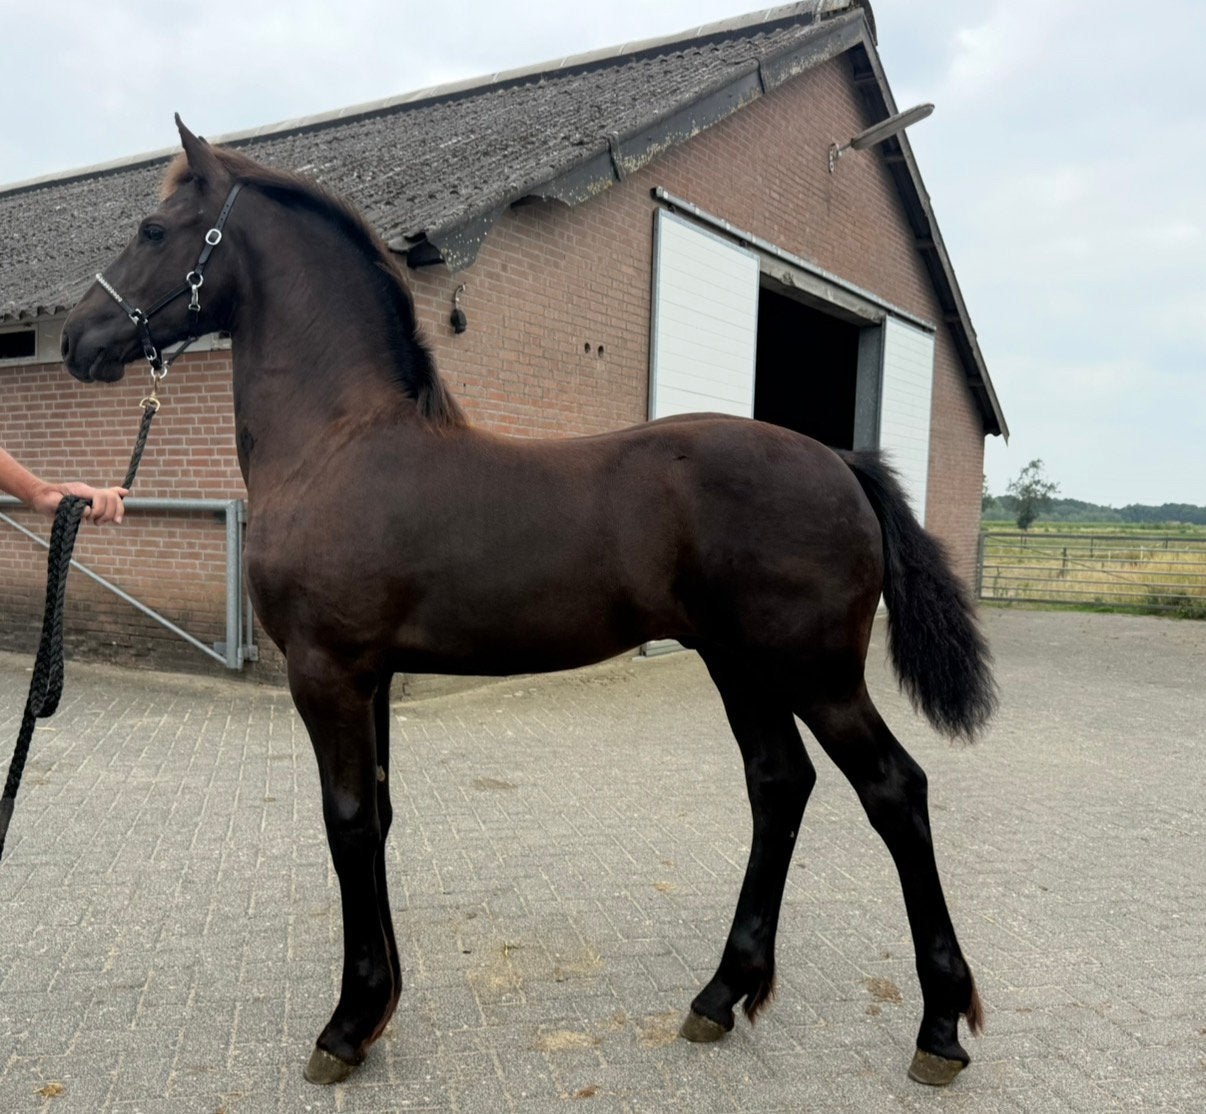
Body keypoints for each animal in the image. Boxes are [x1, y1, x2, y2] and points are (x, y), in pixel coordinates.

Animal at [61, 117, 995, 1088]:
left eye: (153, 230)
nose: (76, 338)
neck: (339, 443)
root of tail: (839, 462)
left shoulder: (327, 673)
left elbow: (347, 823)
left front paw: (346, 1025)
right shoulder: (372, 678)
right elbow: (380, 817)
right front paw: (380, 1007)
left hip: (815, 673)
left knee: (895, 791)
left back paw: (938, 1028)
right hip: (740, 667)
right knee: (779, 786)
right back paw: (720, 994)